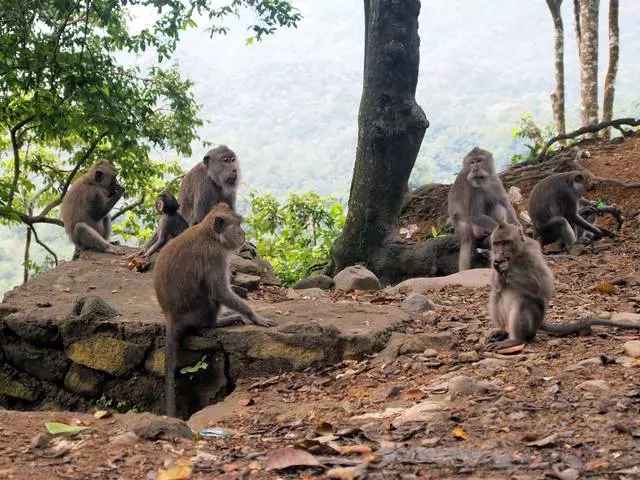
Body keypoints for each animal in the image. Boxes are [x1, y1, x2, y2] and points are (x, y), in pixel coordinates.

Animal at [155, 202, 278, 416]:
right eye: (238, 224)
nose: (243, 233)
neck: (210, 235)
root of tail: (170, 316)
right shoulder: (215, 256)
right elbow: (220, 292)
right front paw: (255, 317)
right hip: (198, 312)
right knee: (209, 297)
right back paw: (217, 322)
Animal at [484, 219, 640, 350]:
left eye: (505, 243)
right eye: (496, 244)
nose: (500, 253)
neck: (515, 254)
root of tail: (540, 322)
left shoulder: (531, 254)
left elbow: (537, 287)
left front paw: (506, 268)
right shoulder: (493, 256)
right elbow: (497, 286)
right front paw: (499, 270)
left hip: (534, 322)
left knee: (524, 302)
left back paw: (516, 339)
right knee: (496, 295)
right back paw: (502, 331)